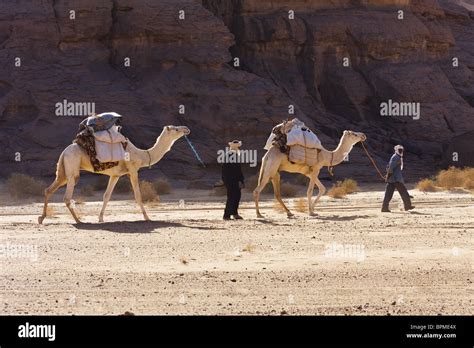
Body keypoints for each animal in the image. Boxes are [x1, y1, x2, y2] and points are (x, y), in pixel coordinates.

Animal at [37, 124, 189, 223]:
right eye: (176, 129)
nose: (186, 129)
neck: (141, 154)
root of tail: (64, 152)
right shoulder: (133, 170)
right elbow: (138, 195)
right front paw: (147, 217)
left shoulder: (115, 175)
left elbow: (106, 196)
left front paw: (101, 218)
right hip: (72, 170)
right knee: (67, 197)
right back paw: (79, 220)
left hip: (63, 172)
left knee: (48, 190)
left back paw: (42, 218)